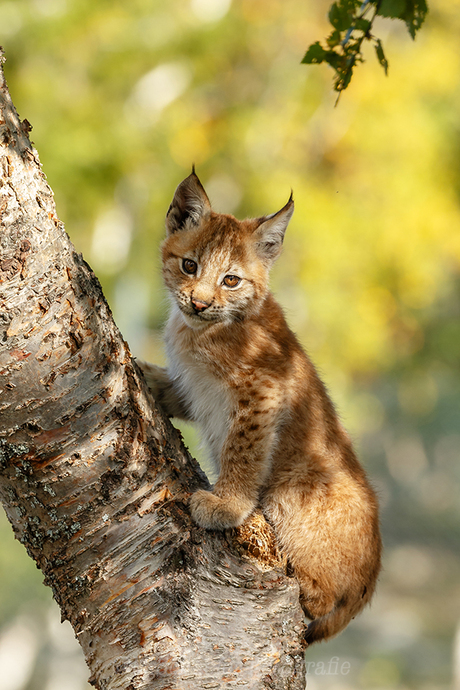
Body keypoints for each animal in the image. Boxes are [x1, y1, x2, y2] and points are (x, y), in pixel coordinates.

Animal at [138, 171, 382, 640]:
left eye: (231, 281)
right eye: (189, 266)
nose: (198, 302)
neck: (199, 329)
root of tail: (373, 580)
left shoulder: (264, 390)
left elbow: (243, 450)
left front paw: (227, 506)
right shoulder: (195, 387)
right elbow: (173, 388)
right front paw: (138, 372)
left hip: (297, 485)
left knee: (317, 600)